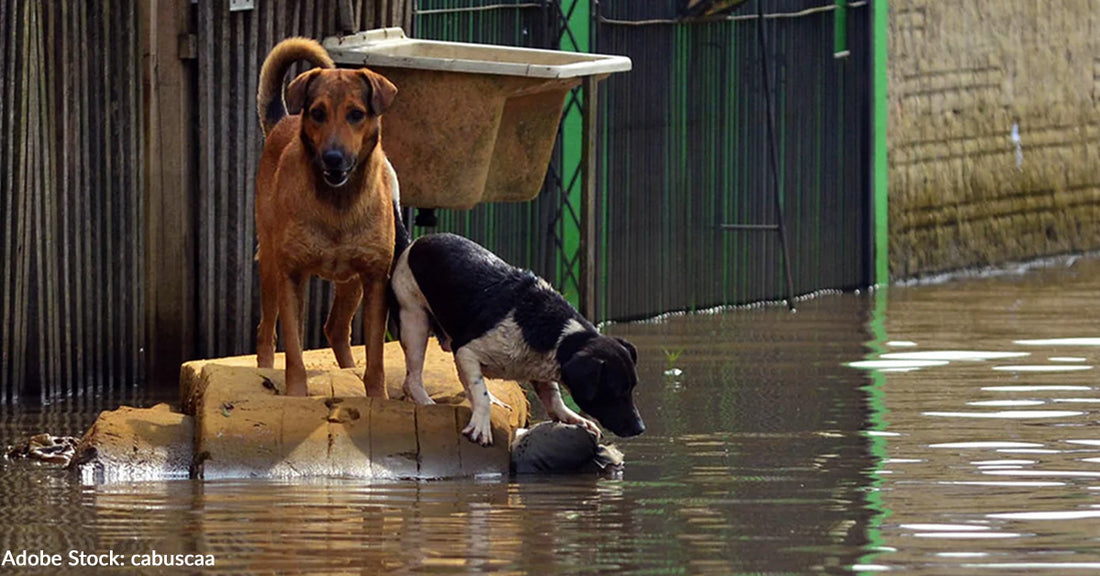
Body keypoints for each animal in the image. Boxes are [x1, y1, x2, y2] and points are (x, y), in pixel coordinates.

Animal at [253, 38, 400, 397]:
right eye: (318, 113)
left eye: (356, 114)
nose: (333, 158)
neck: (338, 203)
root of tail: (283, 120)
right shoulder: (291, 275)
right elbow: (293, 350)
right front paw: (295, 395)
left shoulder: (375, 278)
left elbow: (376, 356)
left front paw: (377, 397)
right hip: (270, 266)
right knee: (266, 331)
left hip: (353, 283)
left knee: (336, 328)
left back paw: (349, 371)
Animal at [391, 233, 642, 446]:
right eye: (616, 391)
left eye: (632, 388)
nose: (640, 429)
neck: (556, 335)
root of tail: (415, 242)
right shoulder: (467, 351)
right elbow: (480, 392)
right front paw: (481, 426)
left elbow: (554, 398)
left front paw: (573, 418)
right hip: (414, 321)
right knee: (413, 378)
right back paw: (426, 402)